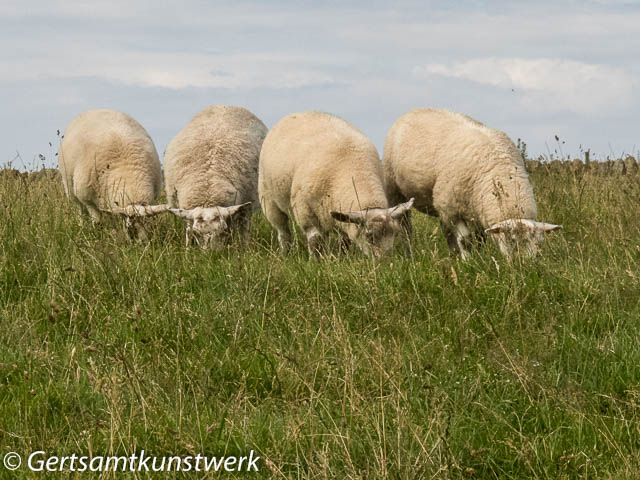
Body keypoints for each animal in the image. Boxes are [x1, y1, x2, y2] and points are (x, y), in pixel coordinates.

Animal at [57, 108, 166, 237]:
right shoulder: (87, 199)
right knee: (79, 209)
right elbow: (97, 220)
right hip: (70, 187)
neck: (127, 171)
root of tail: (96, 109)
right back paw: (81, 225)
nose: (143, 242)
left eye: (150, 225)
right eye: (131, 229)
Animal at [165, 105, 268, 248]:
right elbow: (188, 231)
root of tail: (224, 106)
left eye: (224, 231)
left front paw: (245, 249)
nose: (212, 253)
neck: (208, 190)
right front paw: (188, 249)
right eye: (196, 233)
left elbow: (244, 232)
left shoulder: (246, 207)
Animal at [258, 110, 416, 256]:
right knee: (283, 231)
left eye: (394, 233)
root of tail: (298, 112)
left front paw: (342, 257)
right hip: (269, 200)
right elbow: (314, 241)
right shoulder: (305, 211)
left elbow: (344, 242)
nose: (385, 262)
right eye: (369, 236)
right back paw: (286, 252)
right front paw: (316, 261)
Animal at [382, 109, 556, 258]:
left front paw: (479, 258)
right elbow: (465, 240)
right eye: (511, 241)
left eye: (538, 244)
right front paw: (468, 262)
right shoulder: (454, 209)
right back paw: (408, 252)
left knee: (447, 231)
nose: (525, 267)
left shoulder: (476, 210)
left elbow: (479, 240)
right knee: (405, 227)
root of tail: (414, 110)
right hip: (397, 191)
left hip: (441, 205)